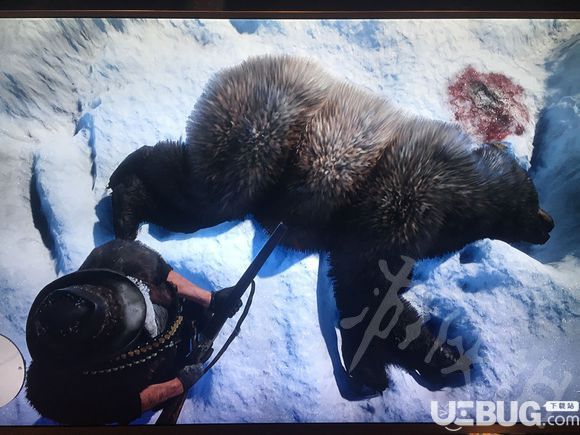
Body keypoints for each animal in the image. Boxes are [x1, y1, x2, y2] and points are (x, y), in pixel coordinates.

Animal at [107, 56, 552, 396]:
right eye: (535, 200)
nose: (548, 225)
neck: (463, 202)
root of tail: (243, 68)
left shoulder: (370, 239)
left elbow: (364, 299)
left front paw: (384, 365)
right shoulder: (396, 210)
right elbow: (372, 296)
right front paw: (437, 357)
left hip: (250, 172)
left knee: (190, 196)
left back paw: (128, 206)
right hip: (257, 141)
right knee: (195, 186)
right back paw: (126, 186)